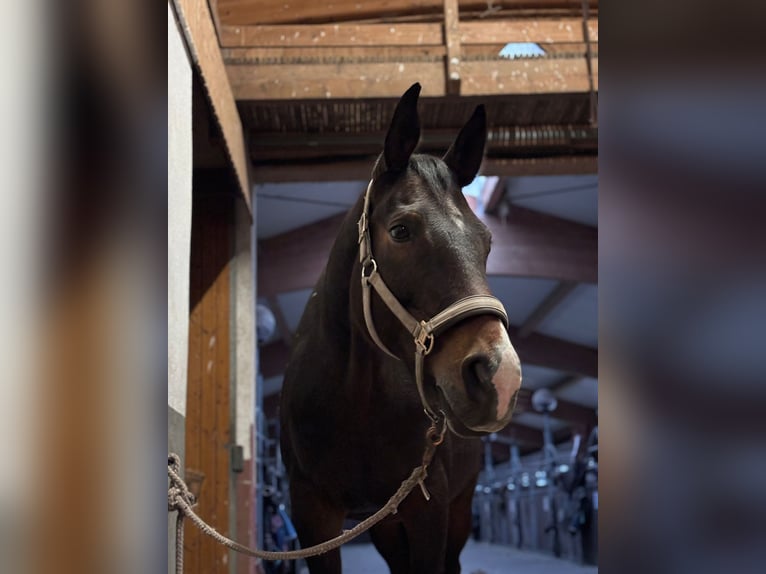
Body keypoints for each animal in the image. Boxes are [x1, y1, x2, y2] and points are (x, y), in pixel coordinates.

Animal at [280, 82, 524, 574]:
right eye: (400, 231)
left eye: (487, 241)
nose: (499, 375)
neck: (351, 399)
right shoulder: (312, 513)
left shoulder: (429, 508)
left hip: (455, 511)